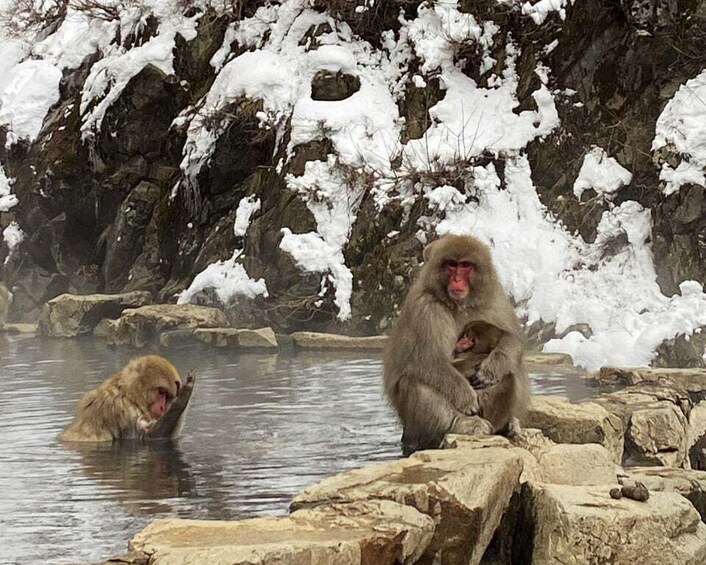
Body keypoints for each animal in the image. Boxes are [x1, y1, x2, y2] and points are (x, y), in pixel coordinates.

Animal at [58, 354, 194, 442]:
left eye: (166, 396)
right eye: (161, 392)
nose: (161, 407)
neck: (130, 395)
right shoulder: (123, 411)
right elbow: (145, 438)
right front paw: (184, 395)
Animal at [384, 234, 528, 454]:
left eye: (465, 265)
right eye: (451, 264)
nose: (457, 280)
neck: (460, 304)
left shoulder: (495, 299)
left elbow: (513, 339)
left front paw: (492, 367)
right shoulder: (426, 309)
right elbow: (428, 361)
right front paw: (465, 397)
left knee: (510, 371)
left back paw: (509, 422)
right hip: (413, 426)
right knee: (416, 382)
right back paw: (462, 424)